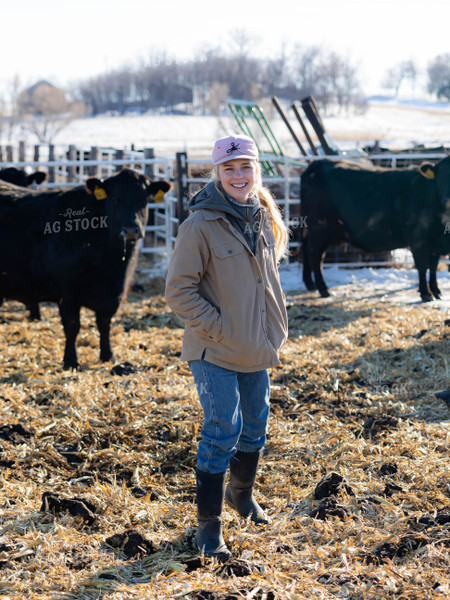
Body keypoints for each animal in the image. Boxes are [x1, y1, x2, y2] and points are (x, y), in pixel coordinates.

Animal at [0, 166, 172, 368]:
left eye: (144, 199)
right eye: (115, 199)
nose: (131, 230)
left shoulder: (113, 294)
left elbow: (104, 323)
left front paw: (108, 355)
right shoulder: (68, 293)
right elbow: (72, 326)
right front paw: (71, 361)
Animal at [300, 157, 450, 302]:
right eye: (441, 177)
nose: (447, 201)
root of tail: (317, 163)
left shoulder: (435, 242)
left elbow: (433, 267)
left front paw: (436, 292)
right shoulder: (418, 239)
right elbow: (423, 267)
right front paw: (426, 294)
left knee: (306, 249)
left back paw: (311, 285)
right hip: (320, 230)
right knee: (315, 255)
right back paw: (323, 289)